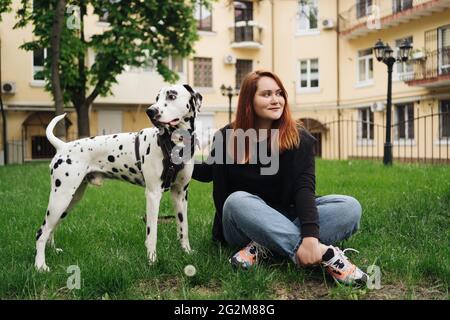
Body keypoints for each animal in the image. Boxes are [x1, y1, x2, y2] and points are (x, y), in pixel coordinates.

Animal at [36, 84, 201, 272]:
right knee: (41, 232)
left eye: (171, 96)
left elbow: (183, 228)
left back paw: (52, 251)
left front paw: (187, 251)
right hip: (60, 198)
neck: (175, 144)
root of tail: (63, 146)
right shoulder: (153, 195)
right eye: (157, 98)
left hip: (70, 200)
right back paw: (40, 266)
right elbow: (152, 233)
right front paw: (152, 260)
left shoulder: (180, 194)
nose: (150, 111)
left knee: (51, 228)